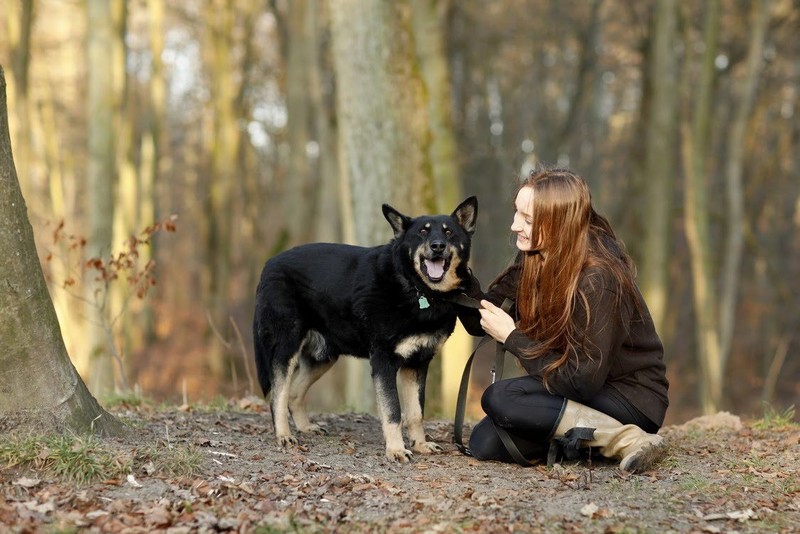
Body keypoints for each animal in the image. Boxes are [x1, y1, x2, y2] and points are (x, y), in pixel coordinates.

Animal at [253, 199, 476, 462]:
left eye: (449, 232)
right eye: (423, 232)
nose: (438, 246)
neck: (417, 290)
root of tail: (269, 264)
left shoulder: (417, 364)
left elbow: (415, 413)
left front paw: (420, 444)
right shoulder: (383, 362)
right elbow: (393, 412)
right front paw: (396, 450)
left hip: (323, 357)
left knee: (294, 394)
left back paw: (306, 427)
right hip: (286, 349)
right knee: (278, 395)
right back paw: (284, 435)